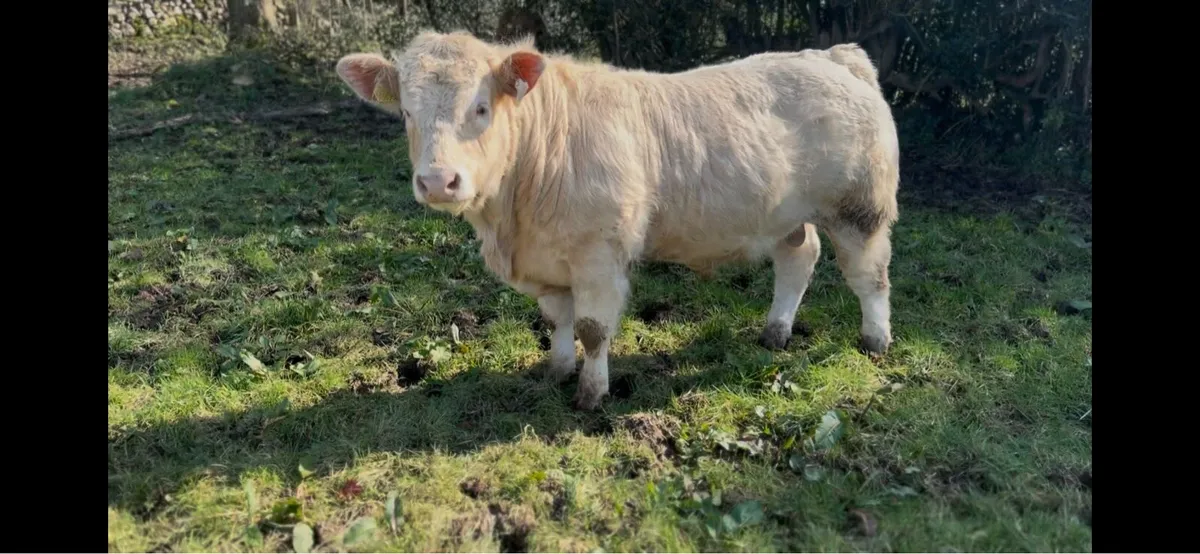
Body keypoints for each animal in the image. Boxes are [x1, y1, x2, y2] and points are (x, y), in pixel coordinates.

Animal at [335, 31, 900, 411]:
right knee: (798, 259)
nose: (437, 181)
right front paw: (557, 371)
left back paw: (874, 340)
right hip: (785, 213)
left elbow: (591, 329)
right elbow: (557, 321)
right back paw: (775, 331)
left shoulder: (599, 254)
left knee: (869, 276)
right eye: (406, 113)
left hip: (860, 207)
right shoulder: (549, 262)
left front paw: (591, 393)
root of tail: (832, 56)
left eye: (480, 108)